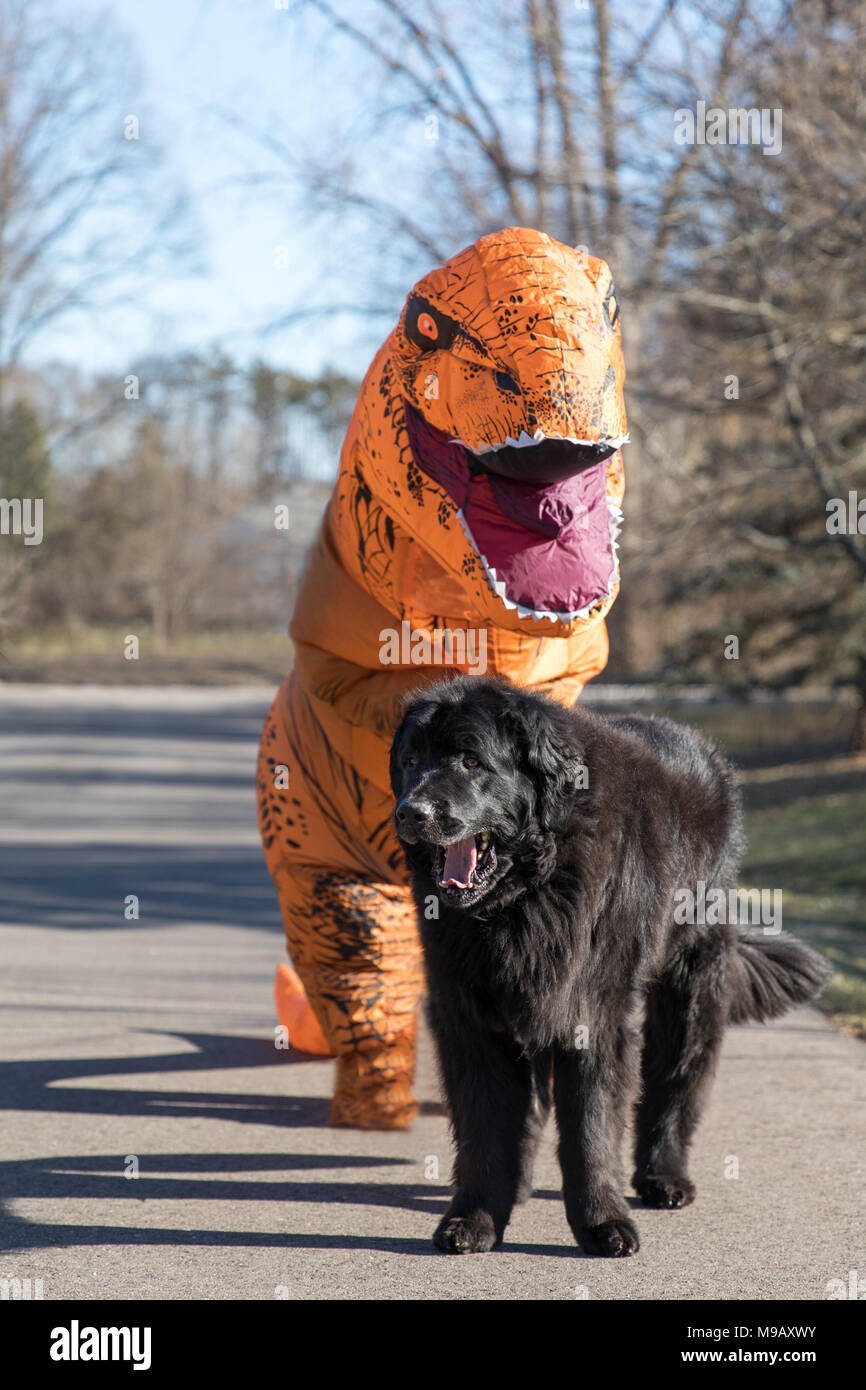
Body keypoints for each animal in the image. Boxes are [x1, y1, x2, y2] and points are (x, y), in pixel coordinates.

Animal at [391, 675, 834, 1262]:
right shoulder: (474, 1014)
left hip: (691, 979)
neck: (528, 893)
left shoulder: (592, 1011)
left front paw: (603, 1224)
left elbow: (592, 1126)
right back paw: (521, 1184)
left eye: (470, 760)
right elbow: (485, 1126)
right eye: (411, 760)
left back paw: (665, 1176)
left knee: (677, 1078)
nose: (411, 812)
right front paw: (476, 1218)